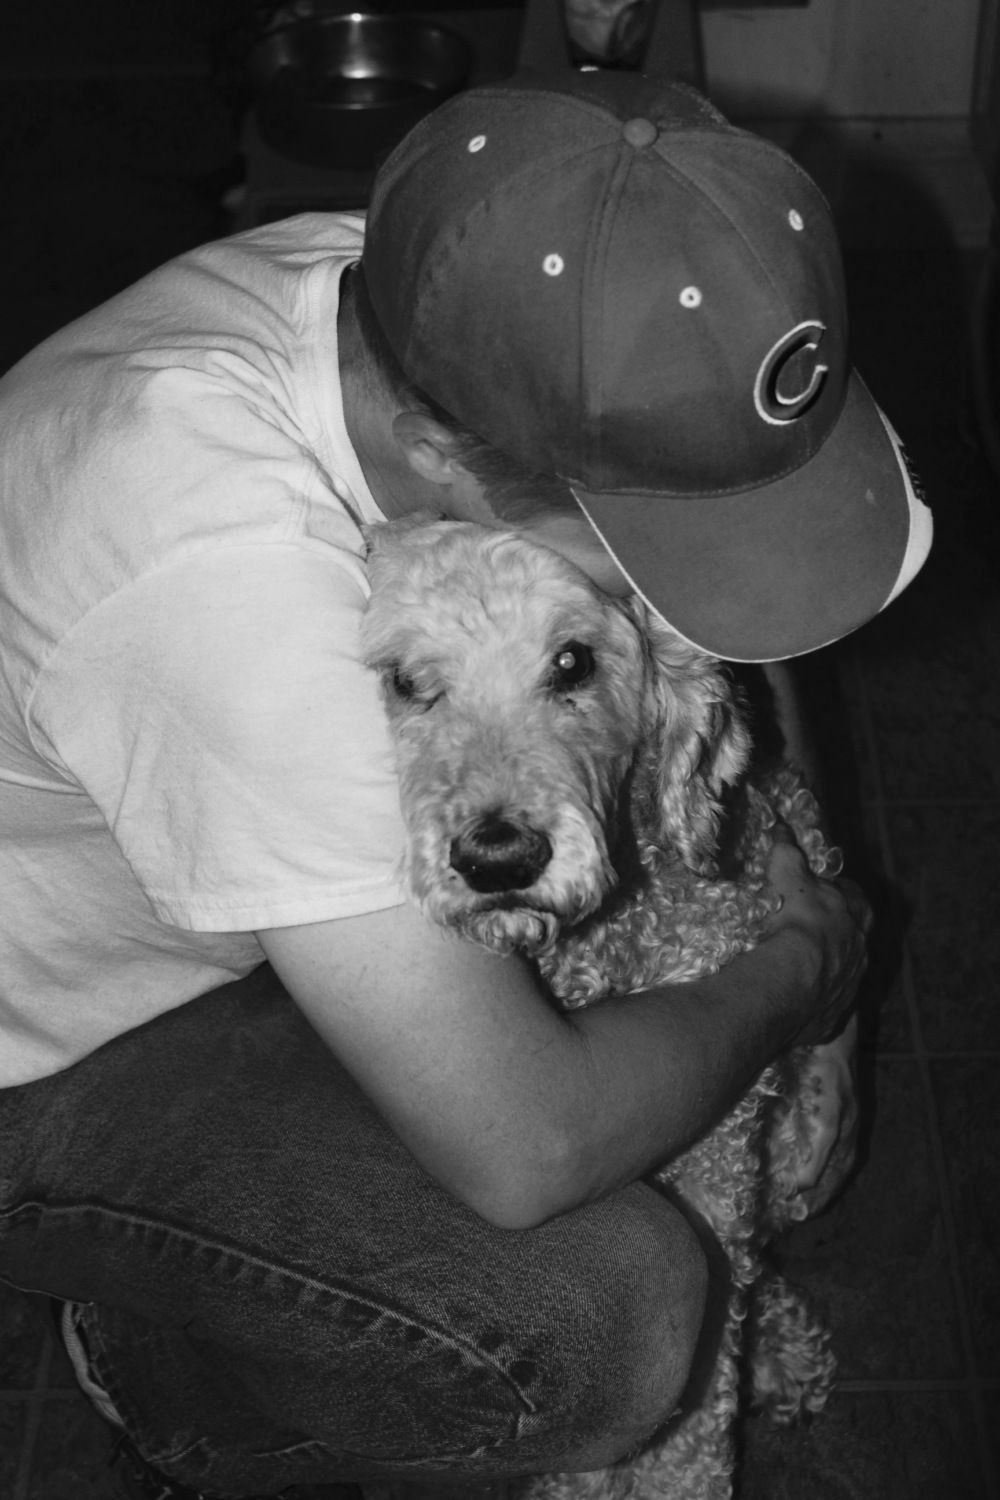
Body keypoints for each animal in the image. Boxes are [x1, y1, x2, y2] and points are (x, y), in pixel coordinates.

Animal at [361, 516, 853, 1500]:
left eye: (572, 662)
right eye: (406, 680)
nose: (498, 856)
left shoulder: (721, 1144)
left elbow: (700, 1402)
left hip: (790, 1144)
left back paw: (783, 1350)